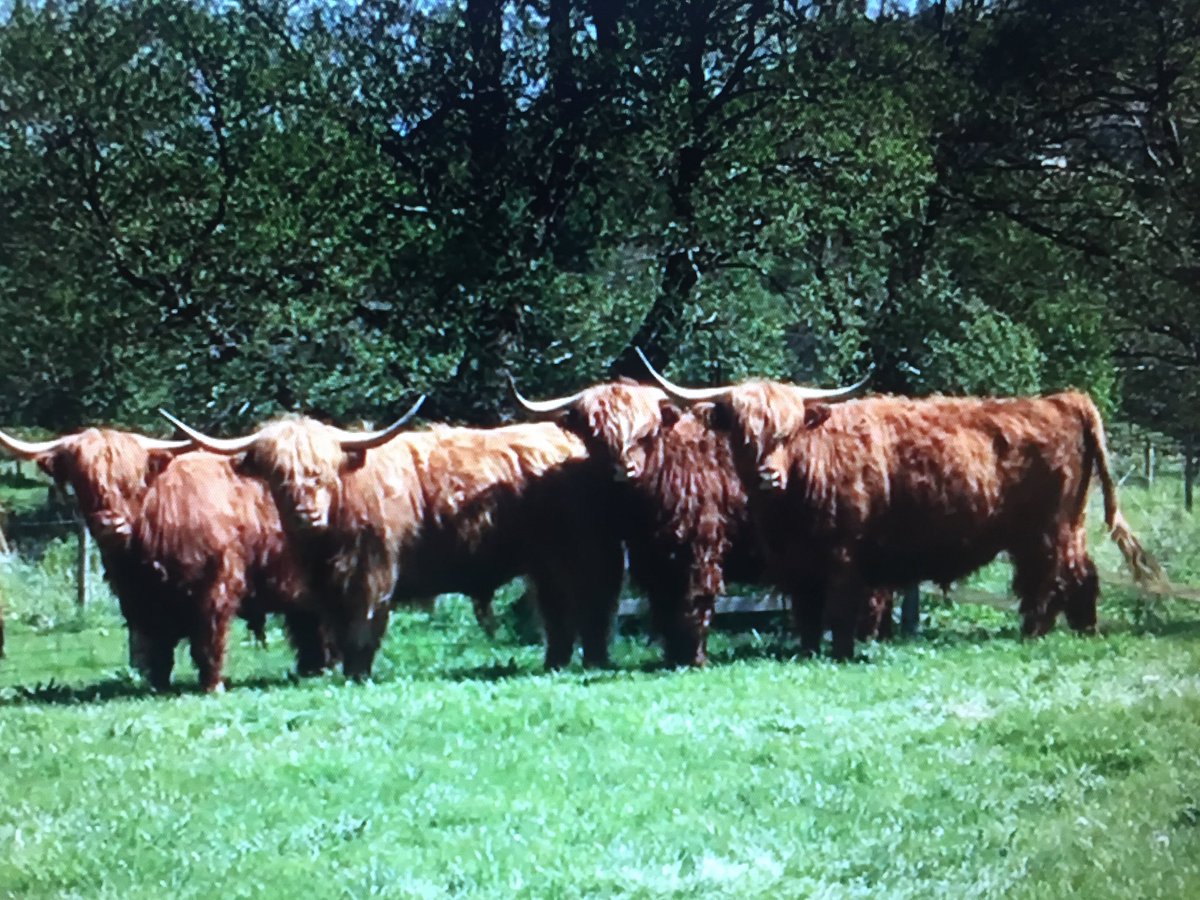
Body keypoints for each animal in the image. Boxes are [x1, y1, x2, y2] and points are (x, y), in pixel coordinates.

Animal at [0, 427, 337, 691]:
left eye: (131, 482)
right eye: (83, 482)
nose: (111, 524)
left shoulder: (216, 585)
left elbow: (209, 639)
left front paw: (212, 685)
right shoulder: (139, 600)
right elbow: (156, 648)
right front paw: (158, 685)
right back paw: (311, 670)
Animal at [158, 404, 625, 678]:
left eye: (321, 473)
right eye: (279, 475)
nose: (307, 516)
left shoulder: (372, 570)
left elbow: (362, 628)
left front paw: (358, 674)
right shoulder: (330, 584)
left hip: (582, 553)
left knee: (592, 605)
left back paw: (593, 661)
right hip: (547, 562)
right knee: (559, 612)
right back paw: (555, 663)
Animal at [512, 379, 896, 665]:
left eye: (644, 434)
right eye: (597, 436)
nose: (624, 469)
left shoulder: (701, 547)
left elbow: (695, 601)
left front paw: (695, 658)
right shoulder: (655, 559)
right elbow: (664, 607)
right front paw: (672, 657)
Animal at [639, 353, 1162, 660]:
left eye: (787, 434)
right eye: (745, 436)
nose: (769, 476)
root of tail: (1064, 399)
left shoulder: (845, 555)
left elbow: (841, 611)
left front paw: (842, 653)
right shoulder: (799, 563)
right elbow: (807, 614)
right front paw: (807, 651)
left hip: (1050, 528)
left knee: (1056, 578)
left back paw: (1042, 632)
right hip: (1059, 528)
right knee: (1073, 575)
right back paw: (1076, 630)